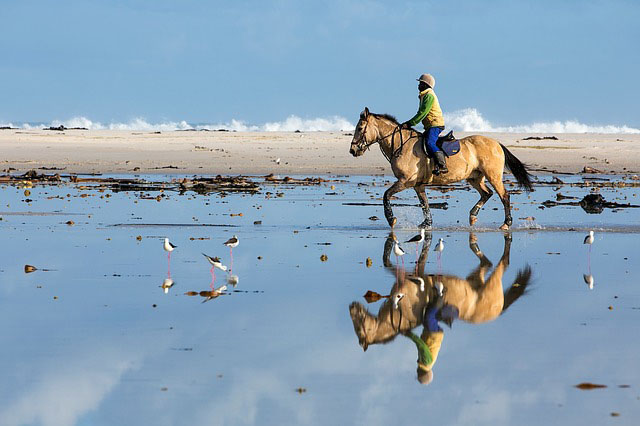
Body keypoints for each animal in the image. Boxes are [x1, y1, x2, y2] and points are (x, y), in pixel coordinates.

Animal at [348, 108, 532, 231]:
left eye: (359, 128)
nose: (353, 150)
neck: (401, 144)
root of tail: (496, 143)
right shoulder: (418, 185)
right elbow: (425, 204)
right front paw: (426, 224)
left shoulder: (405, 181)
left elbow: (386, 195)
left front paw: (391, 219)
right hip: (474, 177)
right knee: (487, 193)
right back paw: (473, 216)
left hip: (493, 176)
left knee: (504, 196)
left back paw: (506, 224)